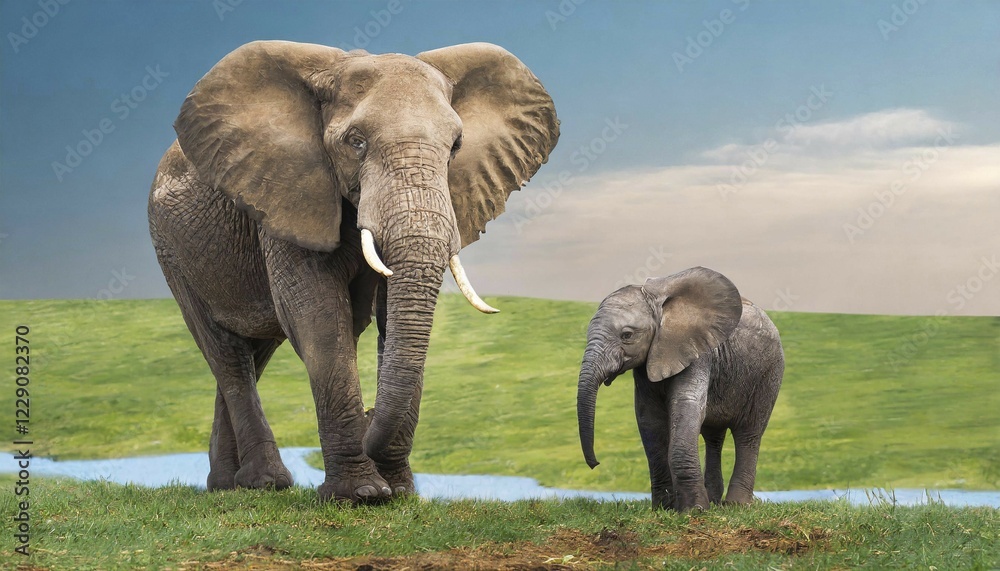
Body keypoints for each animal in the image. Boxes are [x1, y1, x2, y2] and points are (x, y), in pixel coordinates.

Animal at [147, 40, 559, 504]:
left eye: (456, 146)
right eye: (356, 142)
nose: (369, 413)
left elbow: (385, 316)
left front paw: (399, 492)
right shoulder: (289, 192)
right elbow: (318, 317)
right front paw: (361, 493)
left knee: (255, 353)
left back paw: (226, 486)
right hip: (171, 250)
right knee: (228, 354)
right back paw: (264, 483)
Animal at [577, 267, 784, 511]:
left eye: (627, 335)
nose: (595, 464)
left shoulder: (697, 354)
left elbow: (686, 406)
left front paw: (694, 510)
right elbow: (649, 419)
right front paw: (665, 508)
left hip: (768, 374)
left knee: (748, 434)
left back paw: (736, 505)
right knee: (713, 436)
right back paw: (714, 500)